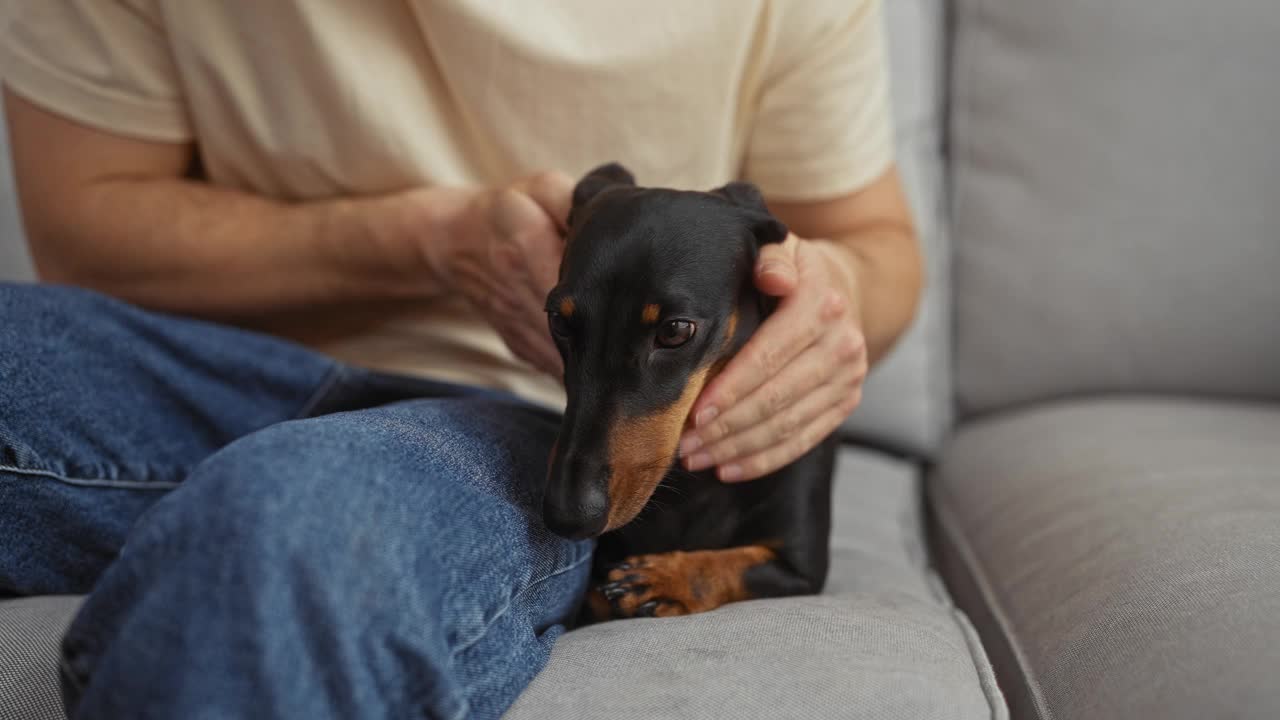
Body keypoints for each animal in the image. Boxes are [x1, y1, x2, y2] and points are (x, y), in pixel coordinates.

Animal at [542, 161, 834, 617]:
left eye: (675, 331)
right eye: (558, 320)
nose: (568, 517)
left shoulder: (800, 569)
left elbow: (733, 565)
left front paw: (664, 579)